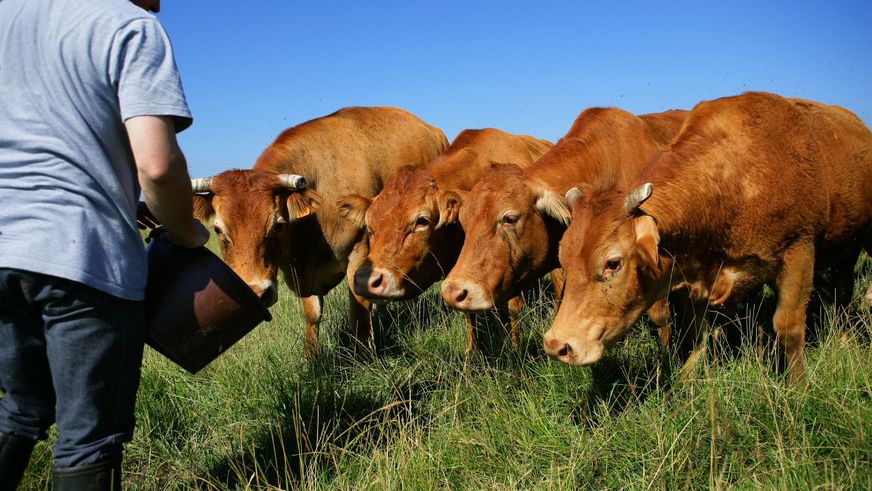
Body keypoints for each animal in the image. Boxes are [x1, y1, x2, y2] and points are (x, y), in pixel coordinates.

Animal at [190, 106, 449, 357]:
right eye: (218, 229)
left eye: (278, 224)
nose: (257, 292)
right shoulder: (302, 273)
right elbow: (312, 314)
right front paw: (311, 357)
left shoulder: (359, 251)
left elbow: (358, 307)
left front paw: (365, 353)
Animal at [336, 128, 553, 352]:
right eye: (370, 227)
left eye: (422, 221)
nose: (364, 280)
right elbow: (467, 311)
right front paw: (471, 352)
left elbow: (512, 308)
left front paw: (513, 348)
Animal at [543, 92, 872, 383]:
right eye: (564, 260)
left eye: (613, 263)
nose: (558, 345)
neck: (736, 178)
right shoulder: (698, 280)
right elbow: (695, 333)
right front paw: (686, 381)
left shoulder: (798, 253)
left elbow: (788, 328)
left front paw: (797, 388)